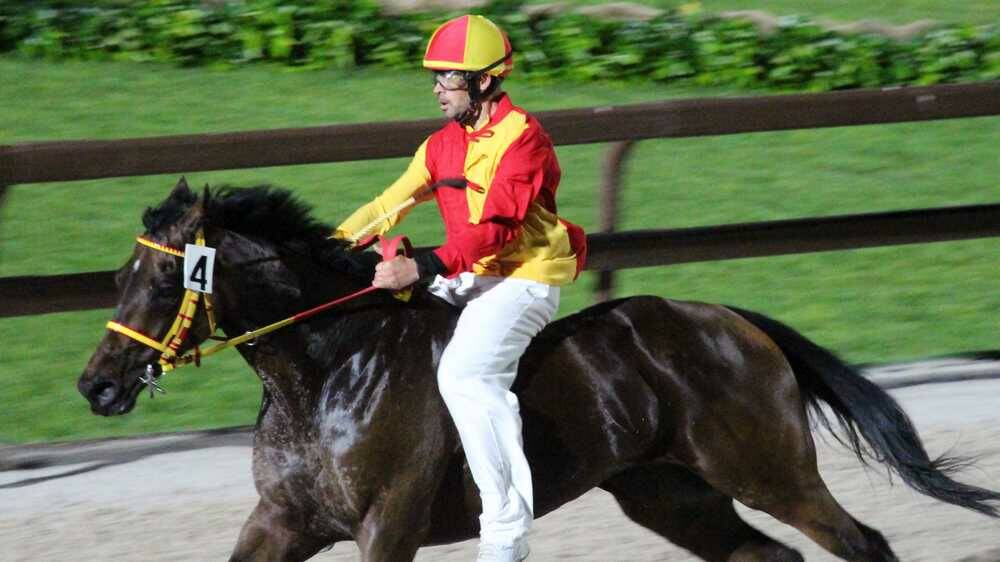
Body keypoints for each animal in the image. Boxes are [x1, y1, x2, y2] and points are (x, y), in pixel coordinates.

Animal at [80, 180, 1000, 560]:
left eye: (161, 280)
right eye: (120, 274)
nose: (97, 385)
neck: (330, 372)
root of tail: (734, 320)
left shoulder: (388, 523)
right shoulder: (284, 520)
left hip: (769, 470)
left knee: (860, 542)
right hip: (669, 491)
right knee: (765, 556)